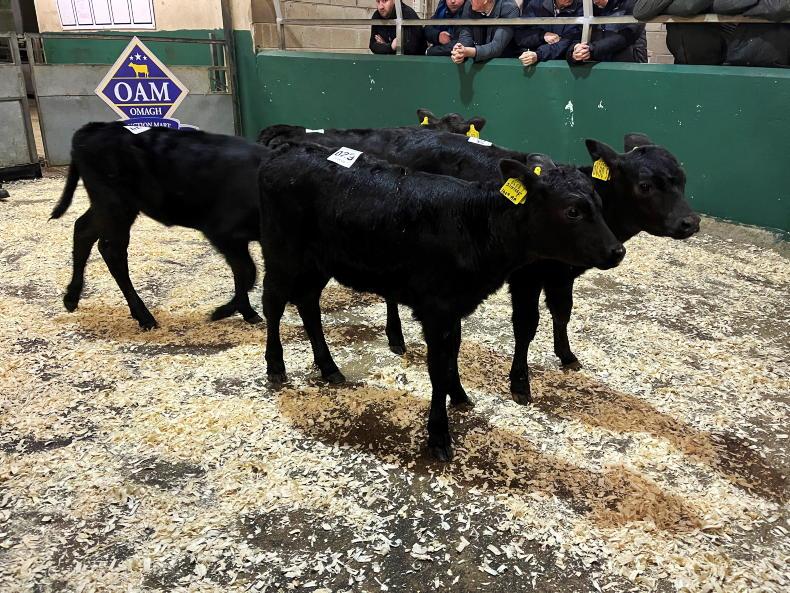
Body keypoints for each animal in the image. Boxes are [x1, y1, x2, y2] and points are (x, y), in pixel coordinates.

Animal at [50, 121, 270, 329]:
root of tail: (93, 128)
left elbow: (243, 273)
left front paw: (247, 311)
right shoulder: (221, 233)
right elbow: (247, 272)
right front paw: (223, 311)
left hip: (111, 207)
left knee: (83, 230)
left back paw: (71, 298)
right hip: (114, 204)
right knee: (112, 251)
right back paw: (144, 316)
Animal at [257, 141, 625, 460]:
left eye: (600, 203)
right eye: (573, 210)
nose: (617, 250)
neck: (474, 223)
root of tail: (284, 151)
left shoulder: (454, 307)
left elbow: (452, 356)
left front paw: (458, 395)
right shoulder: (436, 310)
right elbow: (437, 368)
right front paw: (439, 436)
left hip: (317, 263)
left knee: (308, 304)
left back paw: (329, 368)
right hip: (281, 254)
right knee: (273, 303)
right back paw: (276, 366)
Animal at [258, 125, 700, 401]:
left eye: (682, 178)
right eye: (645, 185)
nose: (690, 222)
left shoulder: (561, 275)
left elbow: (562, 312)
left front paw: (566, 355)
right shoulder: (526, 277)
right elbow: (526, 326)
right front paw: (520, 382)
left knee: (310, 301)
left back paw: (369, 349)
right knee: (279, 300)